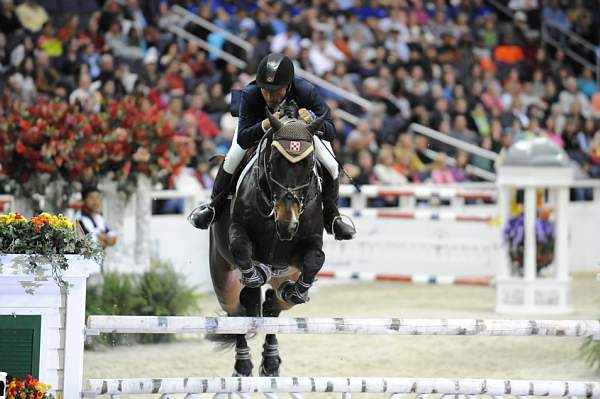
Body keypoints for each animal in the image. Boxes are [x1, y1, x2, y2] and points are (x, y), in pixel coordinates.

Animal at [207, 106, 326, 378]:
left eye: (309, 165)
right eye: (273, 161)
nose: (287, 224)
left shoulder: (309, 243)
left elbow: (315, 259)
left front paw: (298, 291)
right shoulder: (238, 232)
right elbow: (242, 248)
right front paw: (256, 273)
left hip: (286, 274)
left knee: (273, 305)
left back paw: (271, 361)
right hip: (223, 276)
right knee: (237, 312)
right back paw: (243, 366)